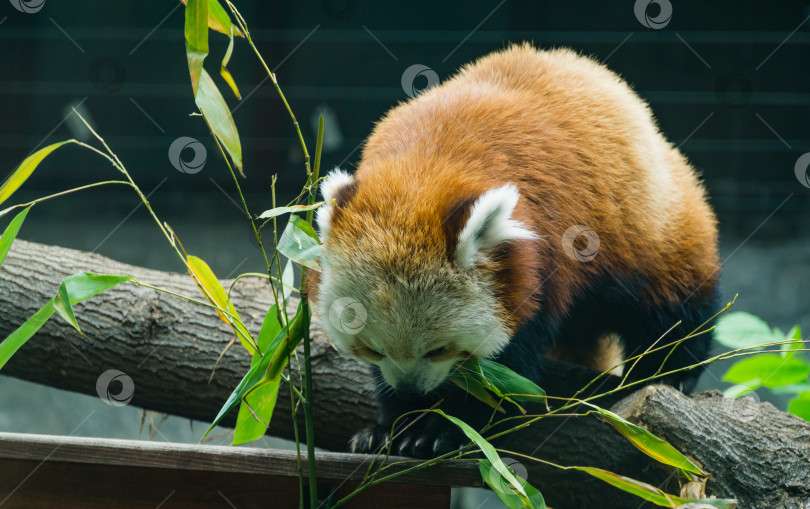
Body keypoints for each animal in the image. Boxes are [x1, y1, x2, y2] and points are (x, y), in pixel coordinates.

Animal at [308, 43, 712, 456]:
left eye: (439, 349)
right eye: (372, 349)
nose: (411, 390)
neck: (427, 167)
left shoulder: (547, 253)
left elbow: (506, 369)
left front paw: (445, 428)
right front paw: (390, 425)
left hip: (652, 222)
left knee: (671, 304)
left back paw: (670, 370)